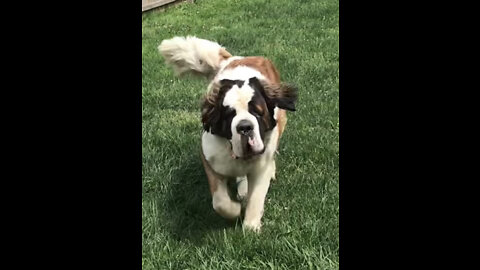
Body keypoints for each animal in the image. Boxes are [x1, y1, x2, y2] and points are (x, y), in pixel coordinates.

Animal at [159, 35, 298, 232]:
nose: (245, 127)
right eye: (229, 114)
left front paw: (250, 227)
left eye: (257, 112)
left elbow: (256, 197)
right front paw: (235, 210)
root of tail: (236, 58)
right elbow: (219, 201)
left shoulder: (260, 165)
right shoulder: (210, 159)